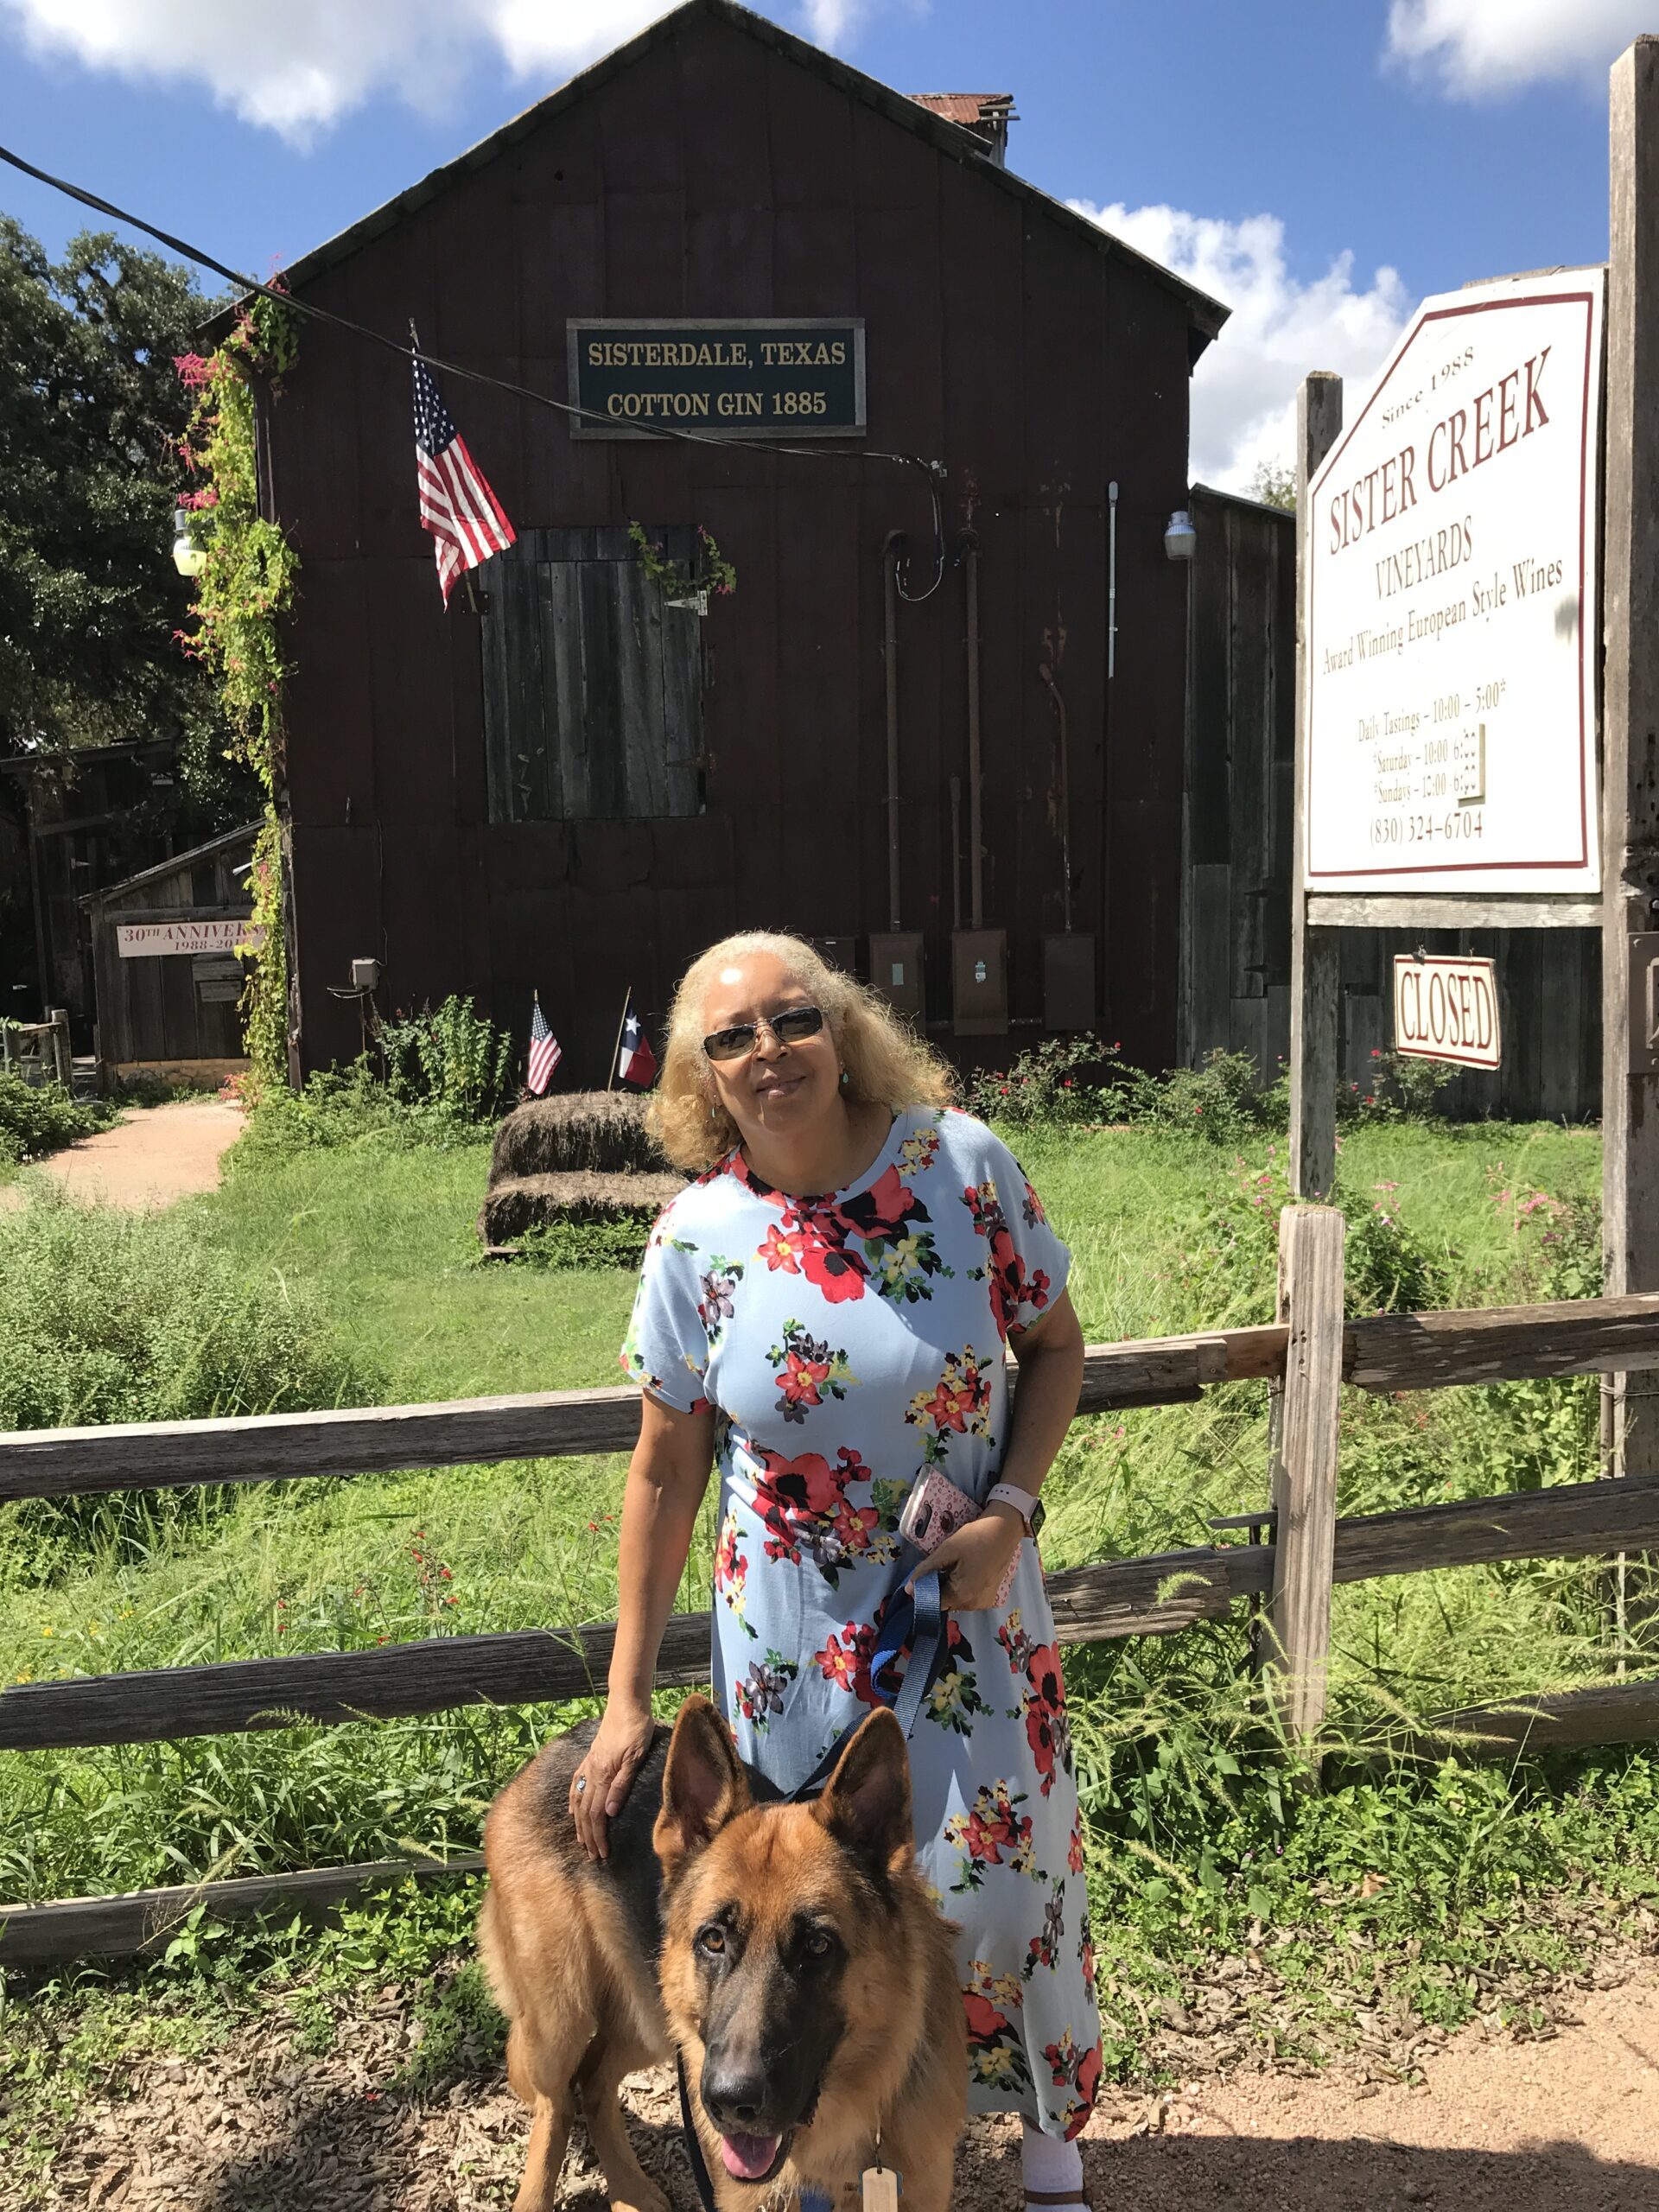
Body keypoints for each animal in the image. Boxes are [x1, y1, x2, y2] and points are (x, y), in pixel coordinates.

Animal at [480, 1695, 966, 2212]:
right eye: (714, 1940)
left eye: (818, 1946)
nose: (731, 2103)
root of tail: (560, 1748)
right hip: (563, 2022)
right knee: (555, 2105)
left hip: (650, 2023)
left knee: (591, 2082)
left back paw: (630, 2190)